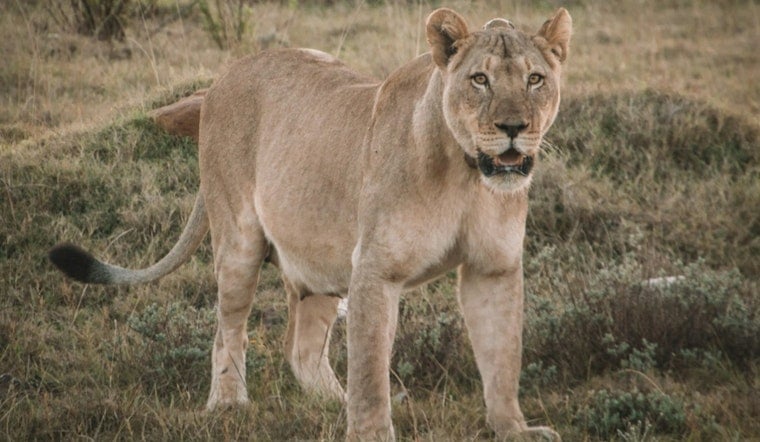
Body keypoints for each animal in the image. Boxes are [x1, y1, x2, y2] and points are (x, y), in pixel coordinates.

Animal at [50, 7, 571, 441]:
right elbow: (369, 366)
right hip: (238, 241)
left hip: (321, 263)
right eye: (480, 79)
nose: (514, 128)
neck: (467, 175)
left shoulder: (493, 268)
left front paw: (514, 430)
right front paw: (370, 434)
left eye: (535, 79)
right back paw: (229, 404)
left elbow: (502, 358)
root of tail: (225, 75)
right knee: (228, 328)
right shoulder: (376, 270)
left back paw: (333, 404)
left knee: (299, 349)